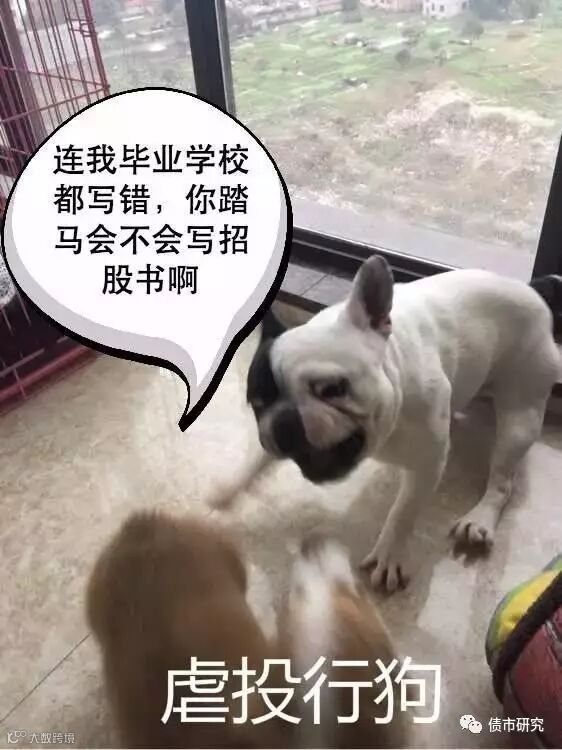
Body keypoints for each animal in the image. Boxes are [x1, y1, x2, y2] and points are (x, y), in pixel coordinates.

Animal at [245, 257, 562, 593]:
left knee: (502, 481)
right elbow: (251, 464)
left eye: (332, 389)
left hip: (521, 417)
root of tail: (533, 289)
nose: (284, 422)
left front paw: (389, 554)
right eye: (257, 403)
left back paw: (480, 519)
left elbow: (404, 511)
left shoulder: (427, 462)